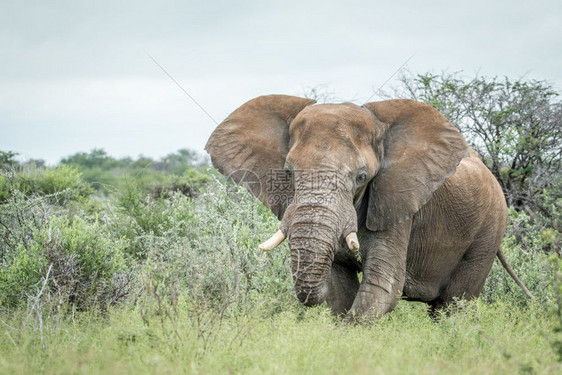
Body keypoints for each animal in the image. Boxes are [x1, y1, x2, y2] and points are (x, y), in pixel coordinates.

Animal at [203, 95, 532, 322]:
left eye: (362, 177)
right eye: (288, 173)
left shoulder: (398, 201)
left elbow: (382, 286)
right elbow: (340, 290)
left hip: (489, 230)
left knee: (453, 305)